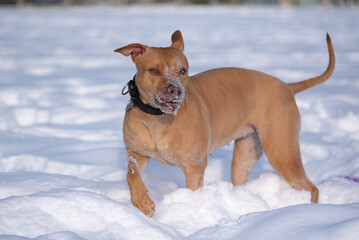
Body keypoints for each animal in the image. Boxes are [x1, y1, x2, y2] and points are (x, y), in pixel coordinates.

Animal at [116, 30, 338, 216]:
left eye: (182, 71)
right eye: (154, 70)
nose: (176, 90)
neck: (157, 119)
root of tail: (287, 86)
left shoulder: (194, 167)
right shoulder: (137, 153)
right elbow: (131, 174)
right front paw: (141, 200)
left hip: (282, 153)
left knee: (311, 187)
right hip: (246, 155)